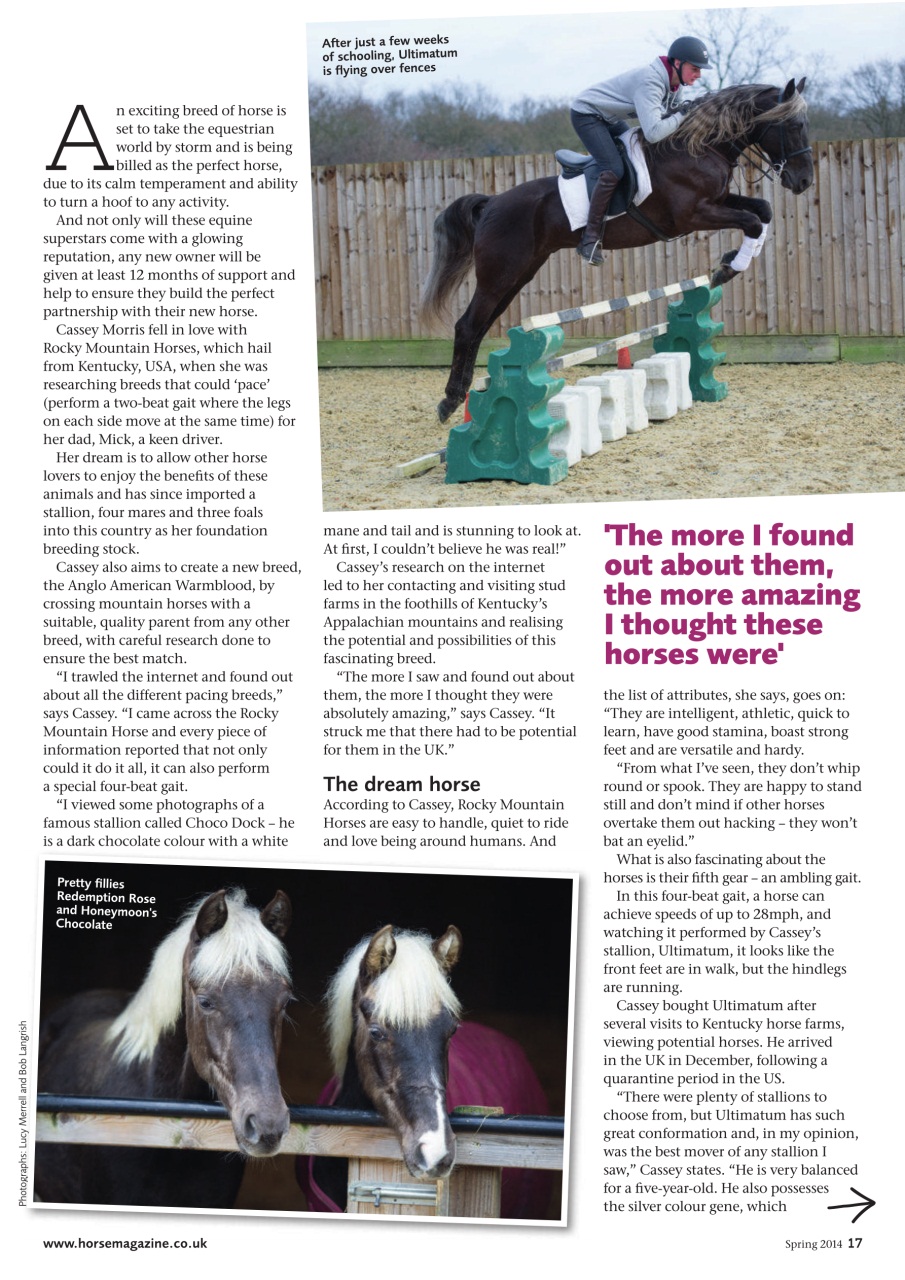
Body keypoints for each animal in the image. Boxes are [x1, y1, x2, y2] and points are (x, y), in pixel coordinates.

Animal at [420, 80, 814, 423]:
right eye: (792, 125)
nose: (804, 181)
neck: (698, 147)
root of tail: (492, 203)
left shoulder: (718, 202)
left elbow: (762, 211)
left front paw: (731, 261)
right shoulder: (692, 215)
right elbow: (752, 221)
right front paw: (728, 269)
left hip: (517, 274)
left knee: (480, 325)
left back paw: (472, 394)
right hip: (499, 274)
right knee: (468, 326)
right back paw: (450, 401)